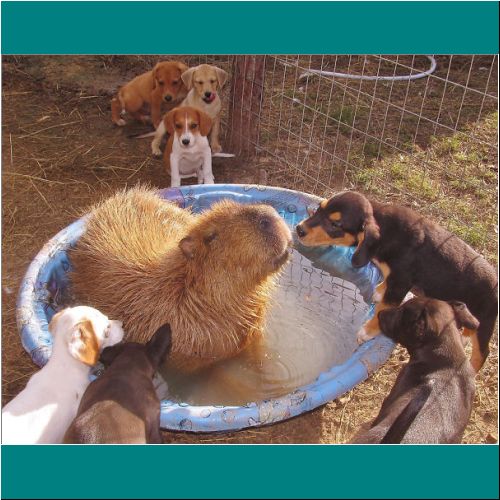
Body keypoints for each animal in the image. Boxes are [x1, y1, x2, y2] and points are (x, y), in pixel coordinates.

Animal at [296, 191, 496, 372]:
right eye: (319, 208)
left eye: (335, 224)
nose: (299, 229)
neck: (387, 230)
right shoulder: (393, 276)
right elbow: (385, 285)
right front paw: (378, 290)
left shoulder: (401, 282)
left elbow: (383, 308)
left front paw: (367, 331)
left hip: (486, 320)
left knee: (482, 352)